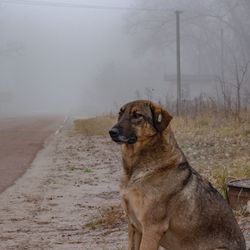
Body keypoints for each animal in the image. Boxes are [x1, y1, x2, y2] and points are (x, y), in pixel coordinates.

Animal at [109, 100, 246, 250]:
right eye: (120, 113)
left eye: (137, 115)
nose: (111, 132)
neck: (134, 171)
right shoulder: (134, 226)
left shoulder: (152, 228)